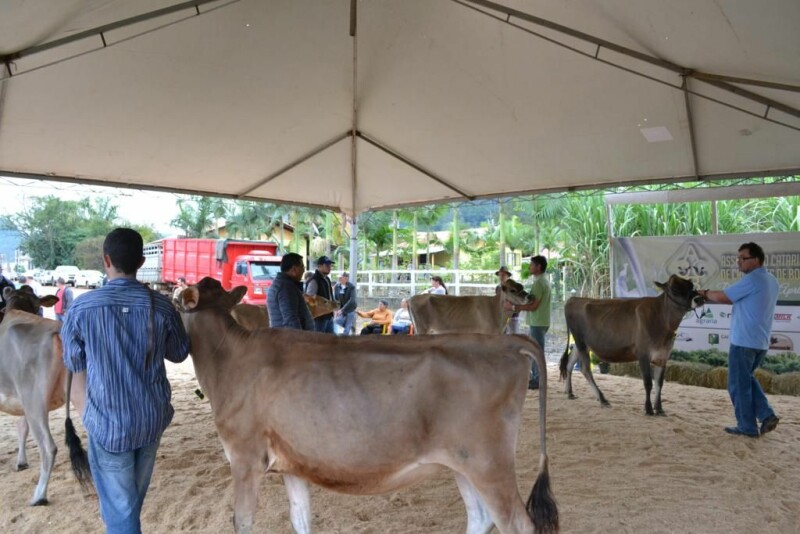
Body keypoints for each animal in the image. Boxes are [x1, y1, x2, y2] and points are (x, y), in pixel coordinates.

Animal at [0, 284, 85, 506]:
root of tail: (59, 330)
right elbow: (21, 428)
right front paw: (21, 462)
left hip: (34, 400)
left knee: (48, 447)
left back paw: (39, 496)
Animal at [173, 280, 556, 534]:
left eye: (175, 300)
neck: (229, 357)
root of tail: (506, 342)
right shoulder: (293, 465)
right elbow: (300, 520)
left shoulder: (245, 457)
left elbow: (242, 522)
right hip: (463, 463)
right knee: (480, 516)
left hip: (489, 463)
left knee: (518, 523)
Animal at [560, 276, 704, 418]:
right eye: (674, 290)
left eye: (691, 286)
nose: (699, 299)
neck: (662, 322)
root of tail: (574, 299)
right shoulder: (643, 355)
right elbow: (648, 383)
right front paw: (648, 409)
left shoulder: (663, 356)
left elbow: (659, 384)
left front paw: (659, 409)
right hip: (580, 341)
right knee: (585, 369)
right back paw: (602, 399)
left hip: (580, 344)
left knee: (569, 363)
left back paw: (570, 393)